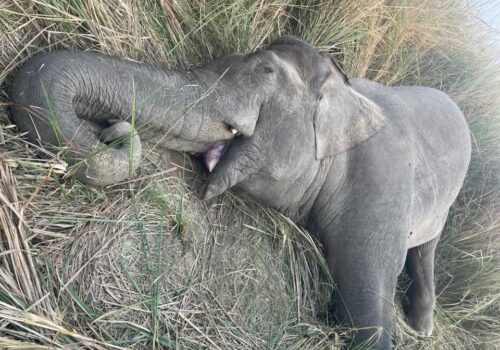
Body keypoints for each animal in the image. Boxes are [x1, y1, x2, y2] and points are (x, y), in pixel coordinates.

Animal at [5, 37, 470, 348]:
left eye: (265, 71)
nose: (112, 131)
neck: (347, 92)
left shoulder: (381, 186)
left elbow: (367, 311)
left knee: (426, 248)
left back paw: (421, 326)